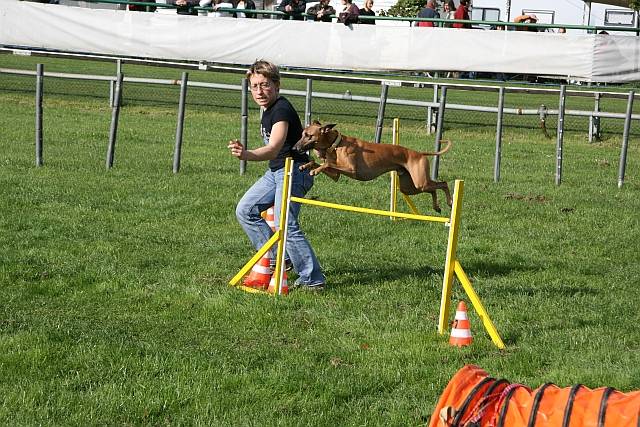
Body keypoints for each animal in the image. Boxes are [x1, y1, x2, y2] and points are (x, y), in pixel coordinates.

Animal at [293, 121, 453, 213]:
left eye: (308, 135)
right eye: (302, 134)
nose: (295, 148)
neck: (337, 144)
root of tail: (419, 153)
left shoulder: (352, 170)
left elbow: (326, 163)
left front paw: (315, 170)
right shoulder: (336, 175)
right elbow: (321, 163)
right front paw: (306, 166)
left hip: (420, 182)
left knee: (443, 183)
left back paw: (450, 202)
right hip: (409, 187)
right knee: (433, 188)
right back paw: (437, 207)